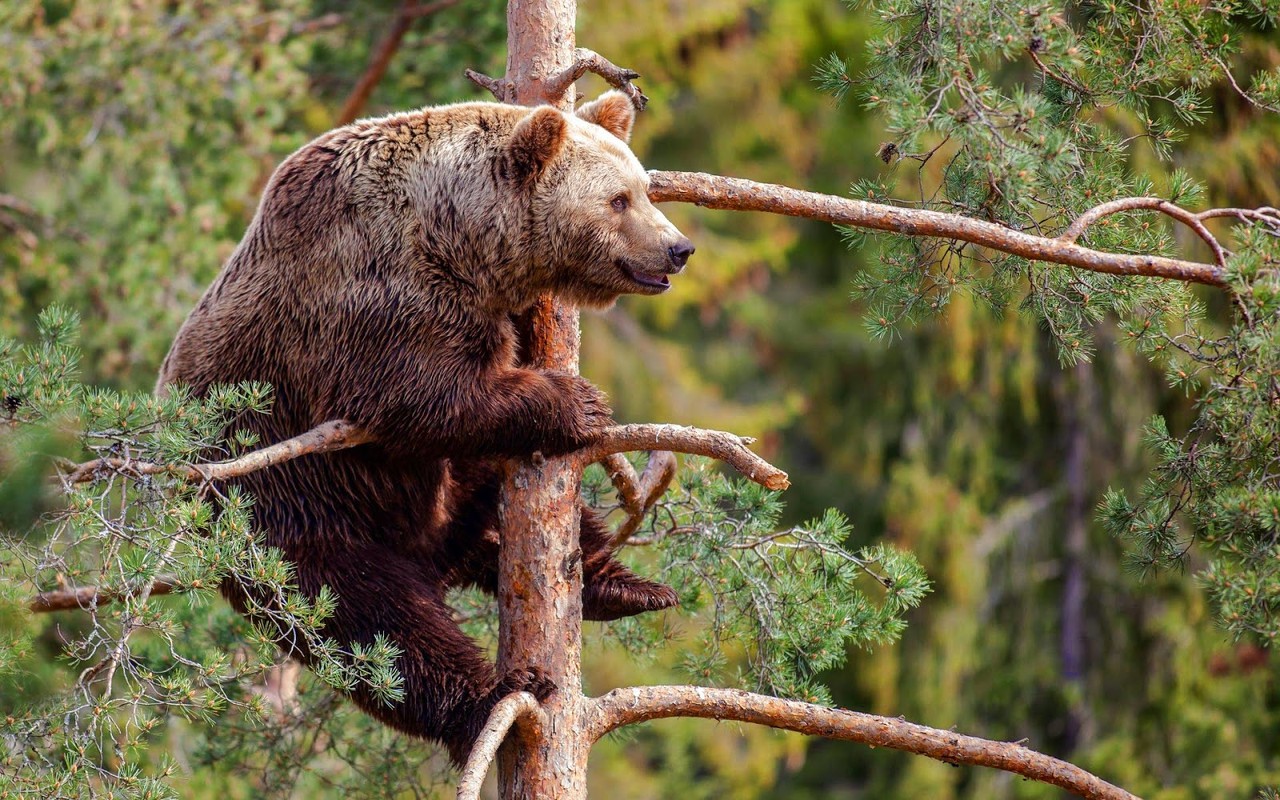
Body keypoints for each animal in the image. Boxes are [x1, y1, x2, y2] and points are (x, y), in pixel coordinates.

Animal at [161, 92, 701, 762]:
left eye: (645, 188)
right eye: (619, 200)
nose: (678, 248)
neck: (458, 239)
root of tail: (433, 556)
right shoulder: (375, 298)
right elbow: (419, 397)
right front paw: (578, 403)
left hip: (439, 496)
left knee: (514, 508)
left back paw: (623, 587)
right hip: (285, 514)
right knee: (376, 627)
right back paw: (497, 695)